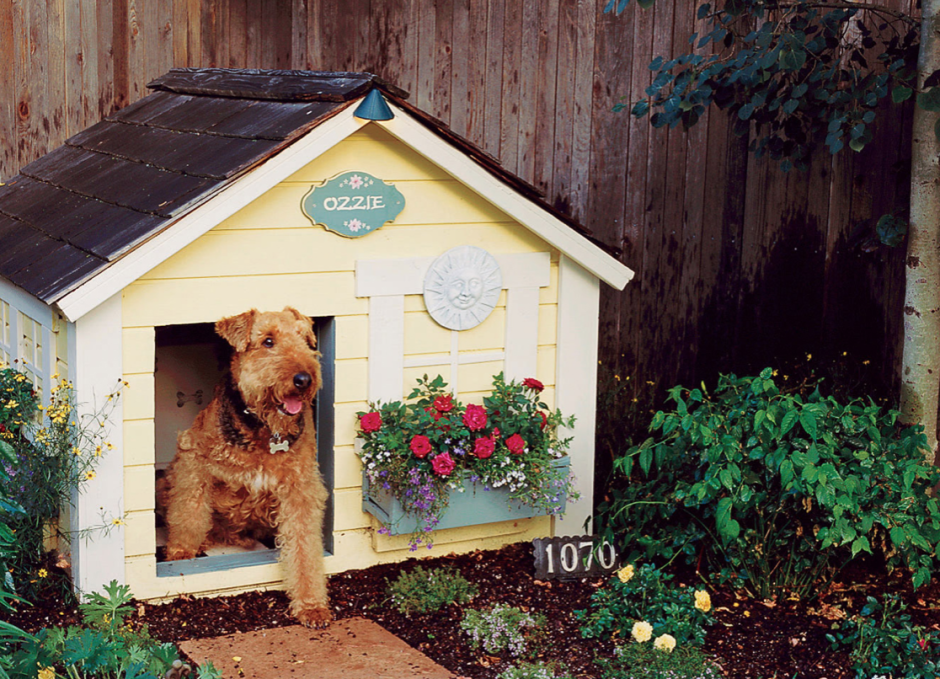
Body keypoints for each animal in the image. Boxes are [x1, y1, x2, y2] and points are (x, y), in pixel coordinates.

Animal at [162, 306, 334, 628]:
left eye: (305, 340)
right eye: (268, 341)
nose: (304, 379)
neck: (267, 431)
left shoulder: (300, 488)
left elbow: (304, 546)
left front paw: (312, 607)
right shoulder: (194, 457)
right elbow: (189, 511)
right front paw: (180, 552)